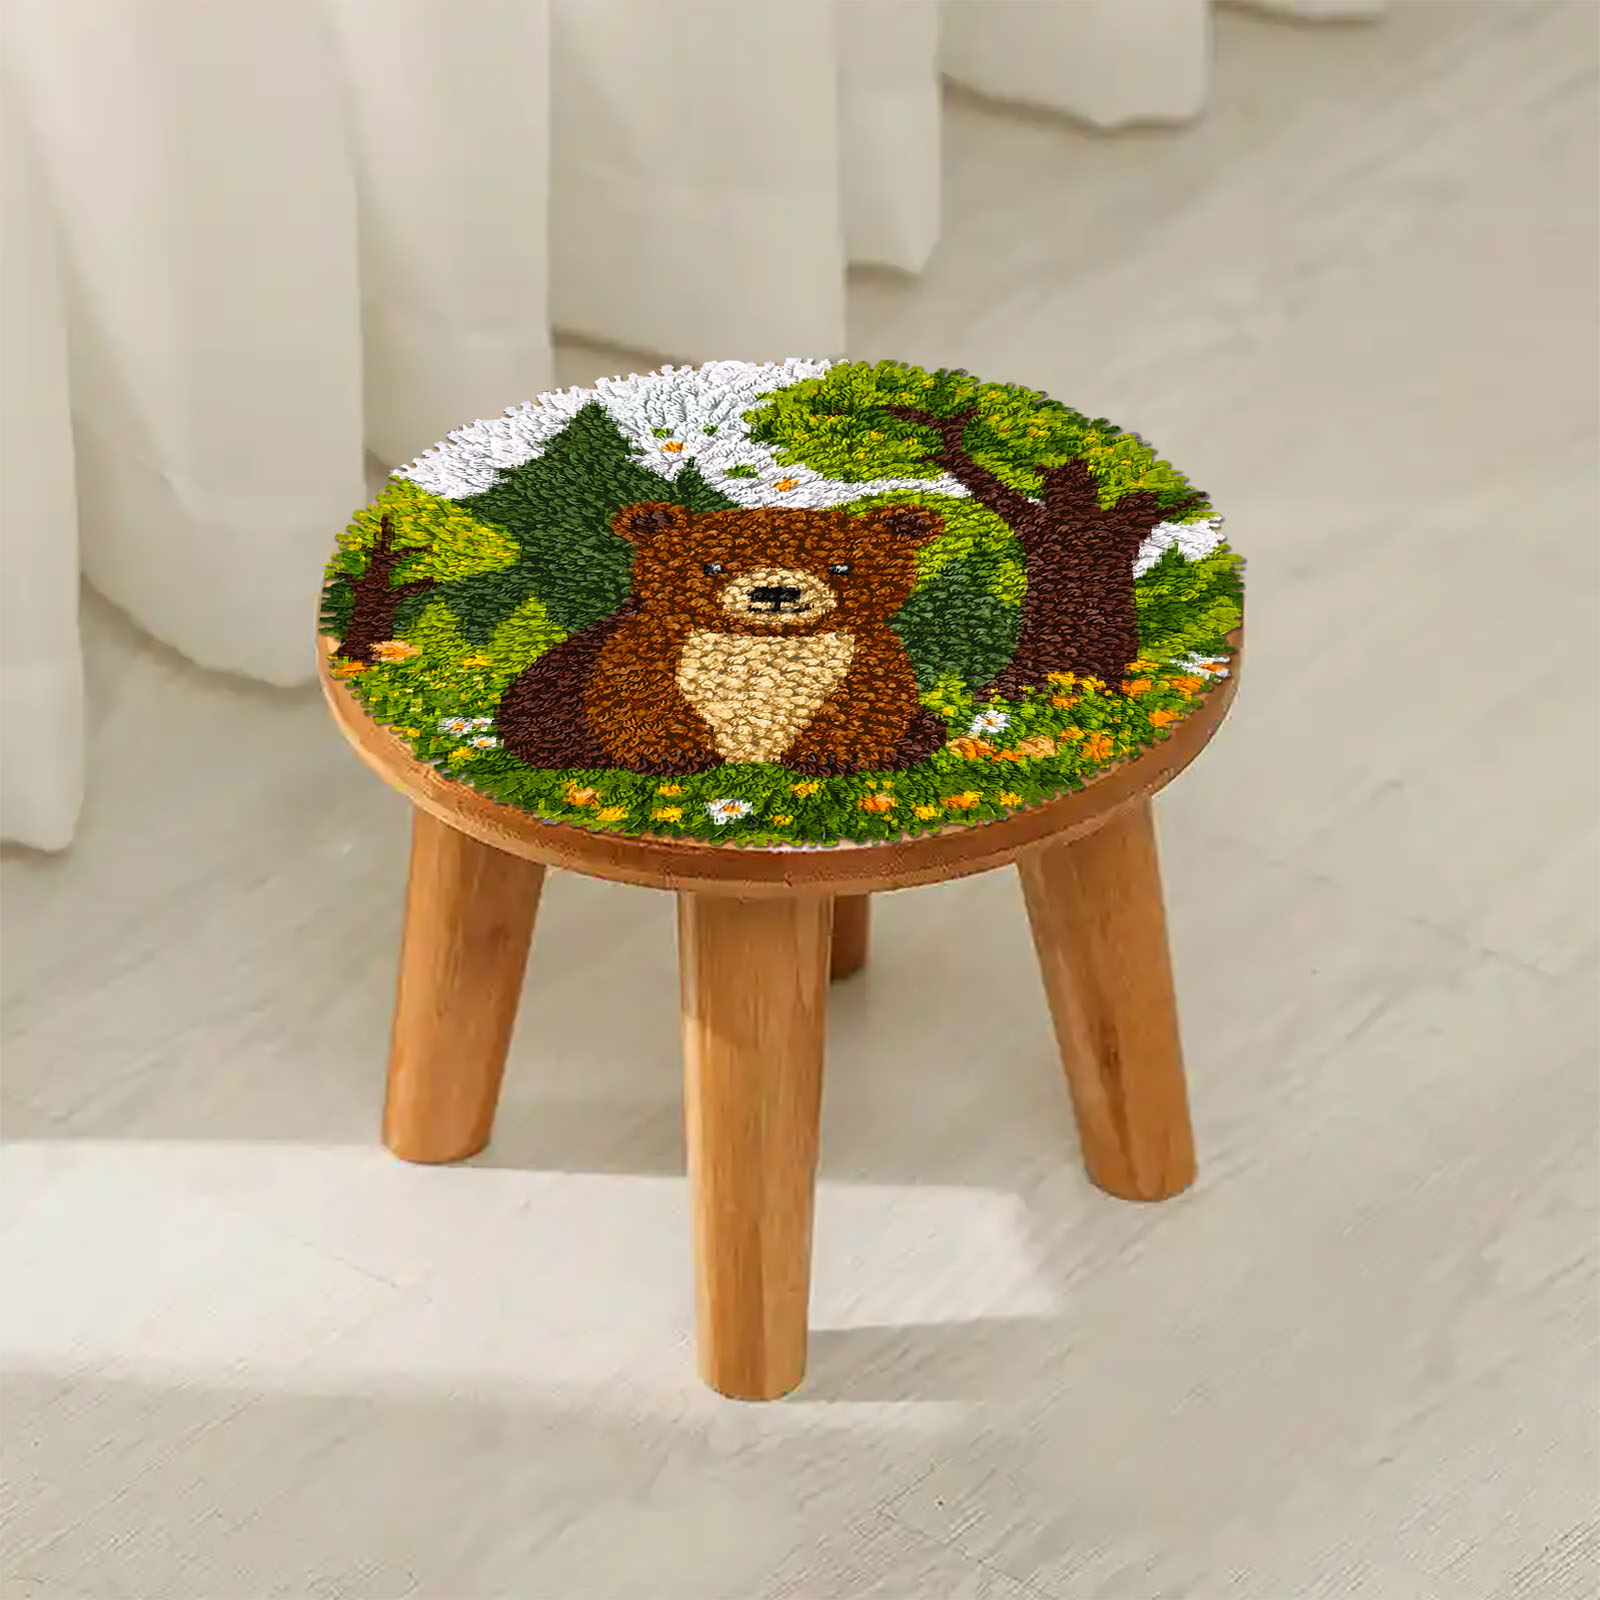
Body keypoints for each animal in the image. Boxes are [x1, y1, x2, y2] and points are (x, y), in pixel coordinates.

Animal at [496, 499, 948, 777]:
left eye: (842, 567)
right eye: (712, 566)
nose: (775, 591)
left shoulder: (866, 653)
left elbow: (871, 705)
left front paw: (832, 755)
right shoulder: (647, 643)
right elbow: (633, 699)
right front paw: (671, 755)